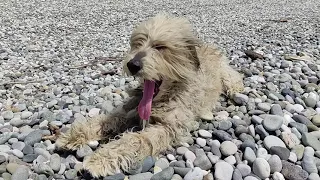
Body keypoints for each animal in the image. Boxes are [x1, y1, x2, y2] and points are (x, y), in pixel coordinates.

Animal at [55, 13, 245, 179]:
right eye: (138, 43)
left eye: (160, 47)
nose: (133, 64)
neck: (164, 97)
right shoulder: (130, 111)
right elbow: (105, 120)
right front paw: (73, 135)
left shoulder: (167, 128)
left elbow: (133, 140)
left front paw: (100, 159)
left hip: (227, 75)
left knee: (235, 79)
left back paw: (237, 90)